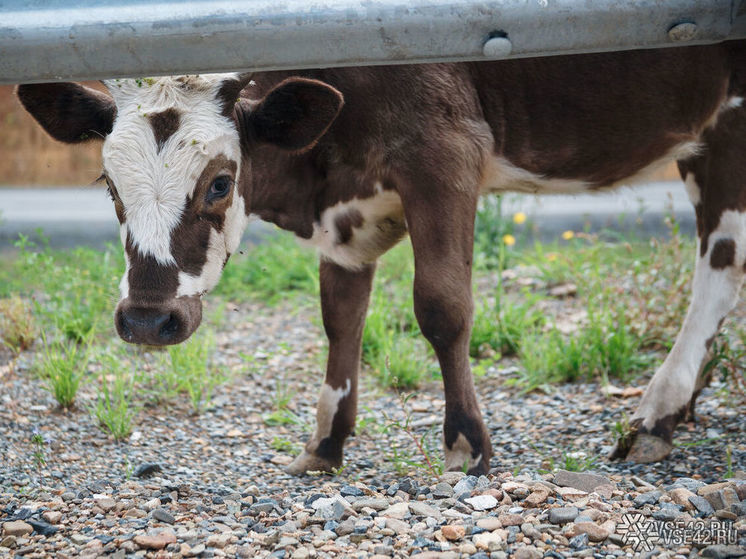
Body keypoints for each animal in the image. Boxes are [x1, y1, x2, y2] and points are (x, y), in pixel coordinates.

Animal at [17, 40, 744, 476]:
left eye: (221, 183)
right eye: (109, 183)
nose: (147, 319)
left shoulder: (445, 151)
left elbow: (443, 307)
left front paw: (465, 443)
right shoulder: (347, 217)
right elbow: (342, 318)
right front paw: (326, 444)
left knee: (722, 258)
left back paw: (657, 409)